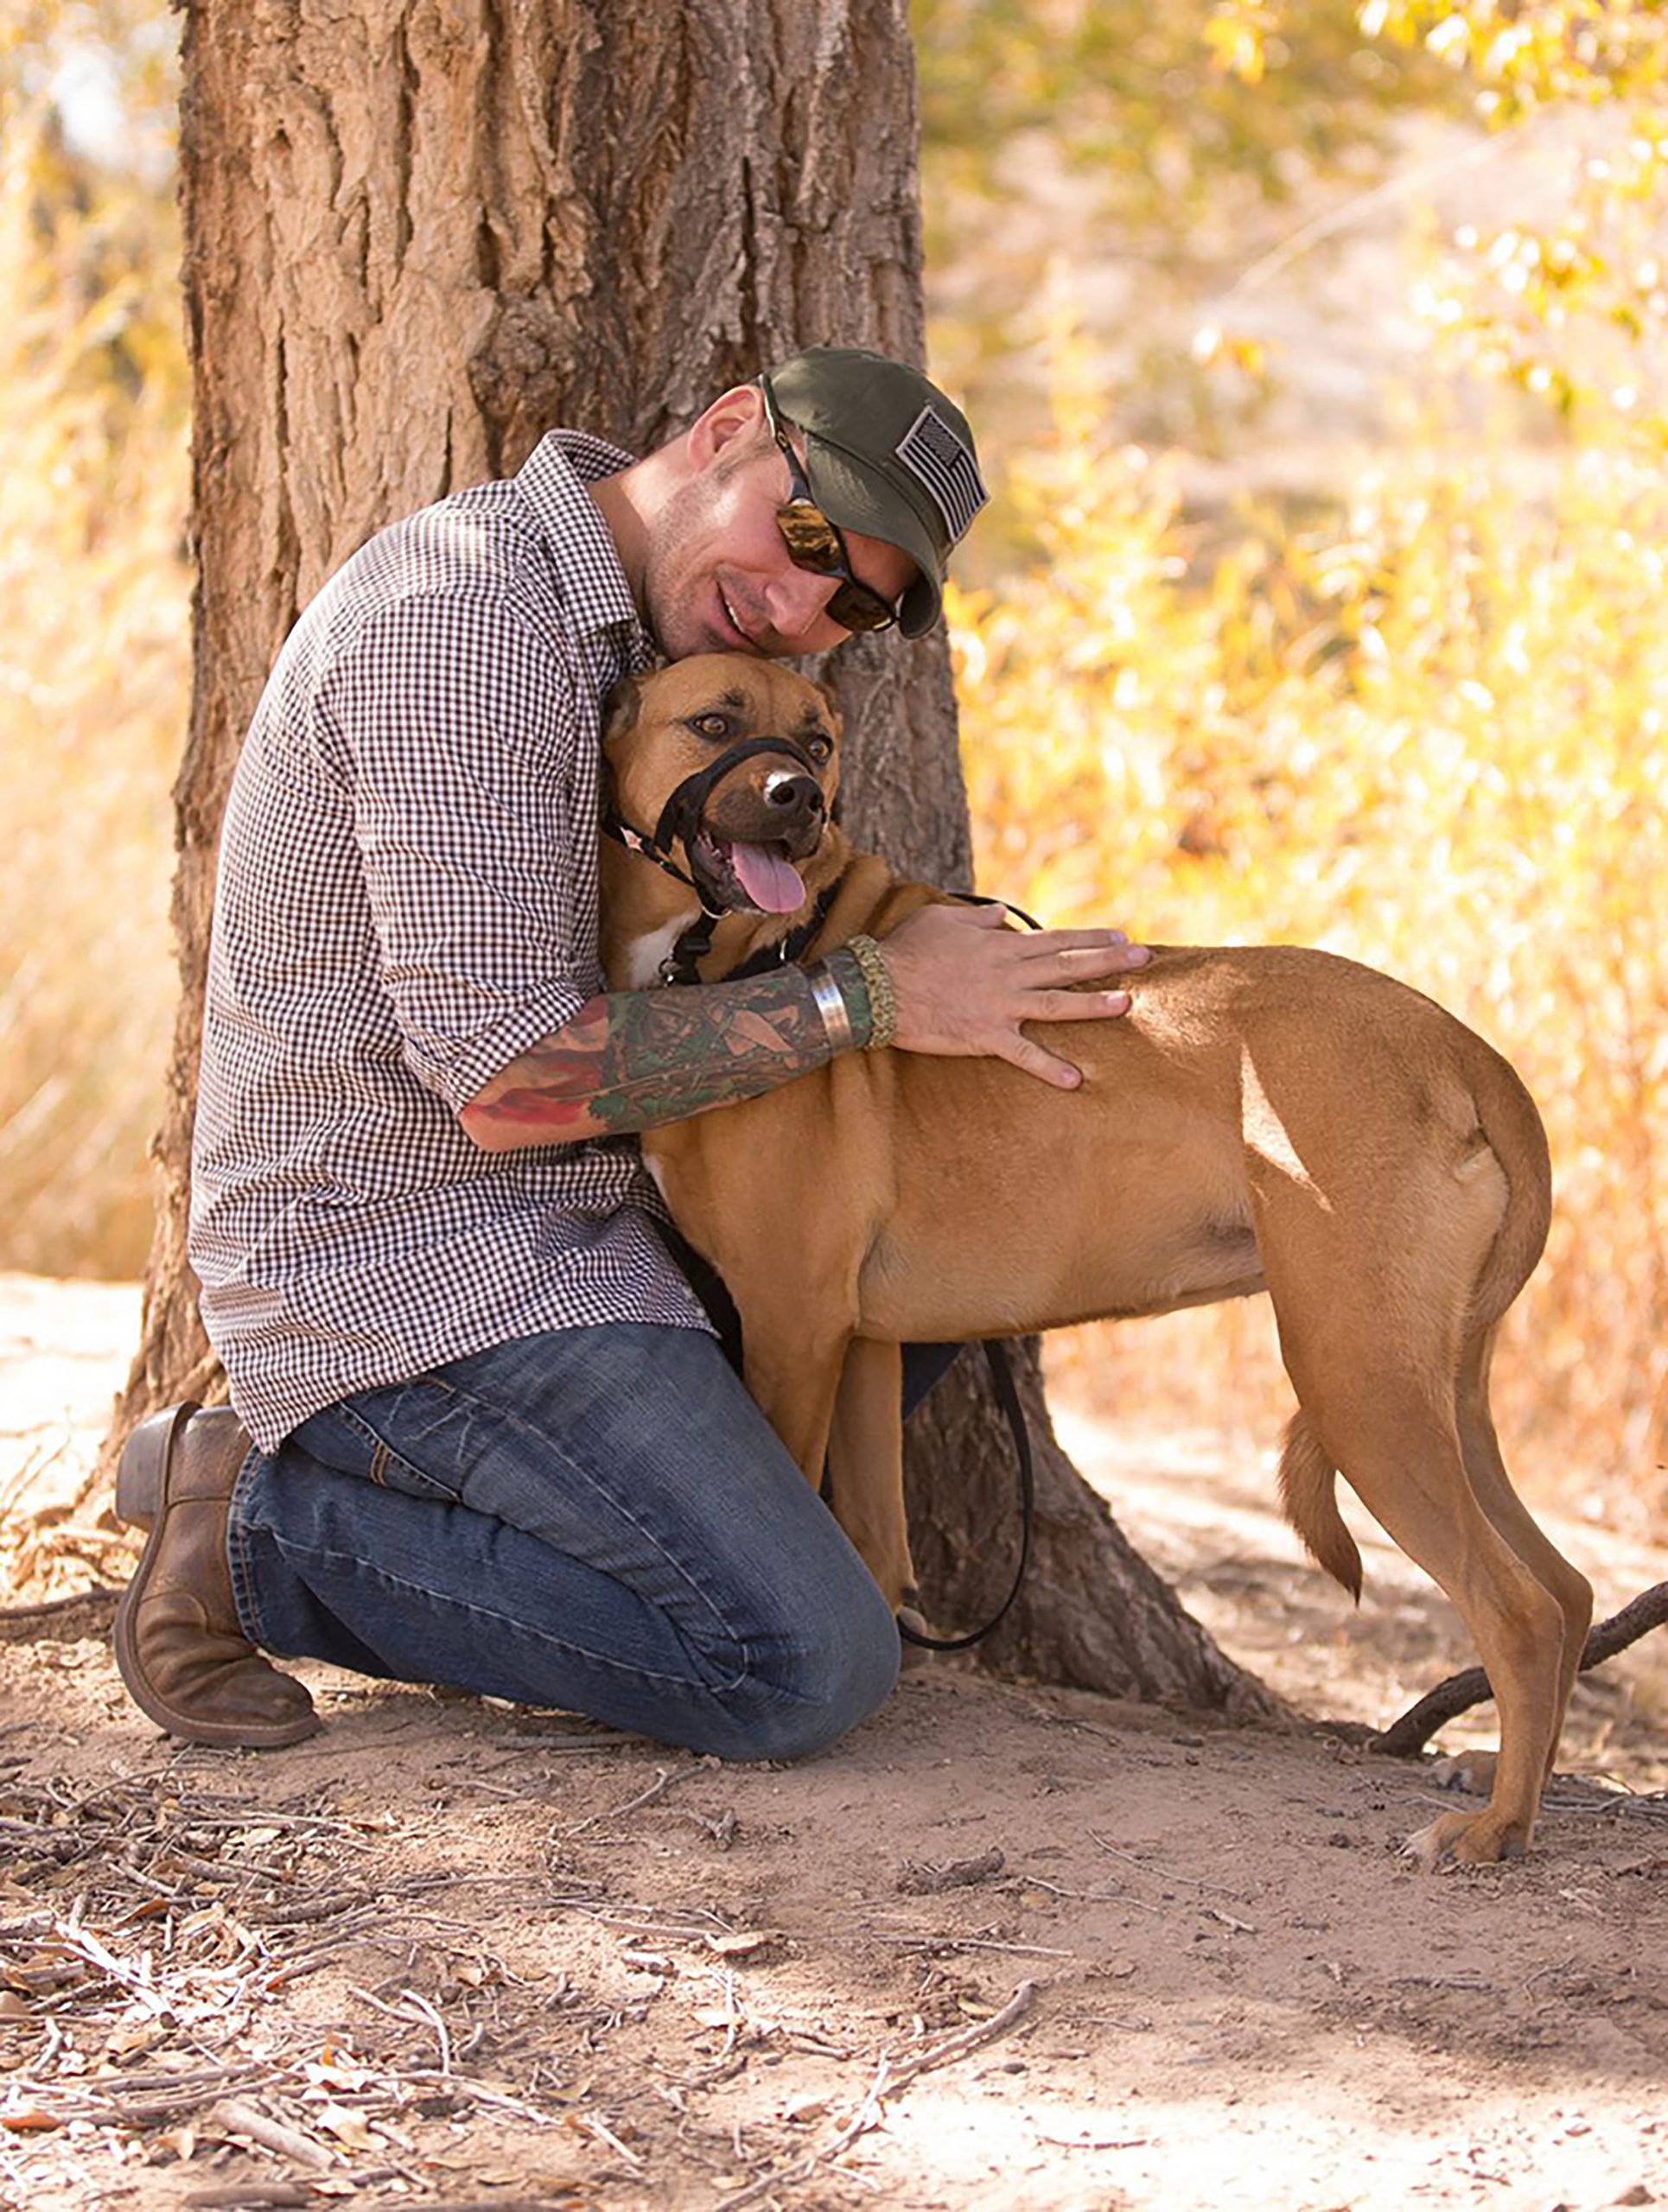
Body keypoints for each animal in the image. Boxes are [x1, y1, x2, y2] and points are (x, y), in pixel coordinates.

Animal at [592, 650, 1583, 1866]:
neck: (738, 959)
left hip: (1357, 1386)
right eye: (715, 723)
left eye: (817, 740)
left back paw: (1492, 1828)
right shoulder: (856, 1341)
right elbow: (871, 1543)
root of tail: (1467, 1052)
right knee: (1567, 1588)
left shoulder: (790, 1326)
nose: (800, 800)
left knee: (1518, 1607)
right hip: (1439, 1384)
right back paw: (1516, 1783)